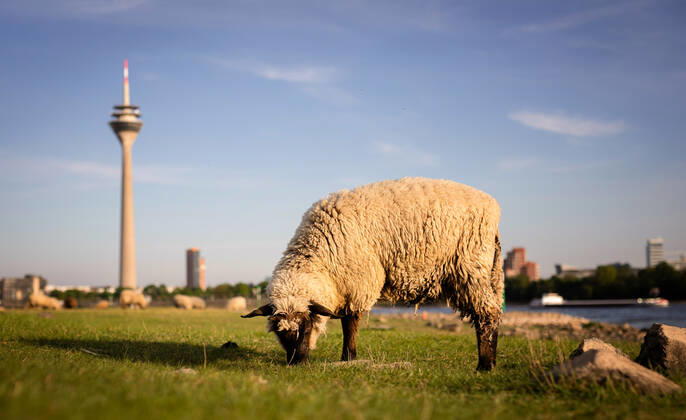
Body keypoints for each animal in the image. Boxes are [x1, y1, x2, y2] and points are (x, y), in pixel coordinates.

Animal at [243, 177, 503, 370]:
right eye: (278, 333)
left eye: (306, 327)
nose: (295, 363)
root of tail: (493, 208)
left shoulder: (357, 282)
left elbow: (350, 323)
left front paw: (348, 358)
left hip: (470, 266)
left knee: (488, 314)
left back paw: (485, 365)